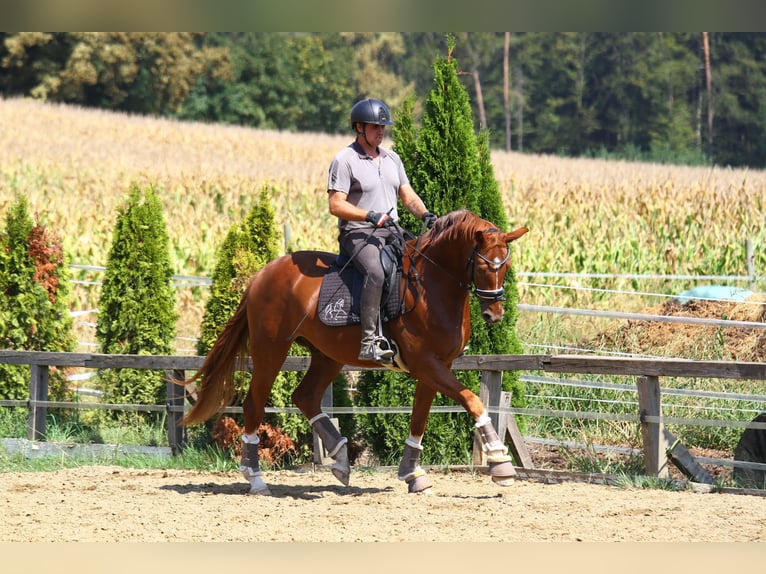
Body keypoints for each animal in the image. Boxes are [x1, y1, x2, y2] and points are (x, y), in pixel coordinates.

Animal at [178, 209, 532, 498]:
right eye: (484, 265)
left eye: (506, 265)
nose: (495, 314)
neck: (432, 286)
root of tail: (263, 275)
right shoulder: (426, 364)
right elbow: (473, 400)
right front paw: (500, 463)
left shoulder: (435, 366)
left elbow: (419, 418)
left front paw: (412, 475)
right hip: (271, 348)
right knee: (255, 404)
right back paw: (256, 479)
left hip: (327, 356)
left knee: (305, 396)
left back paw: (340, 460)